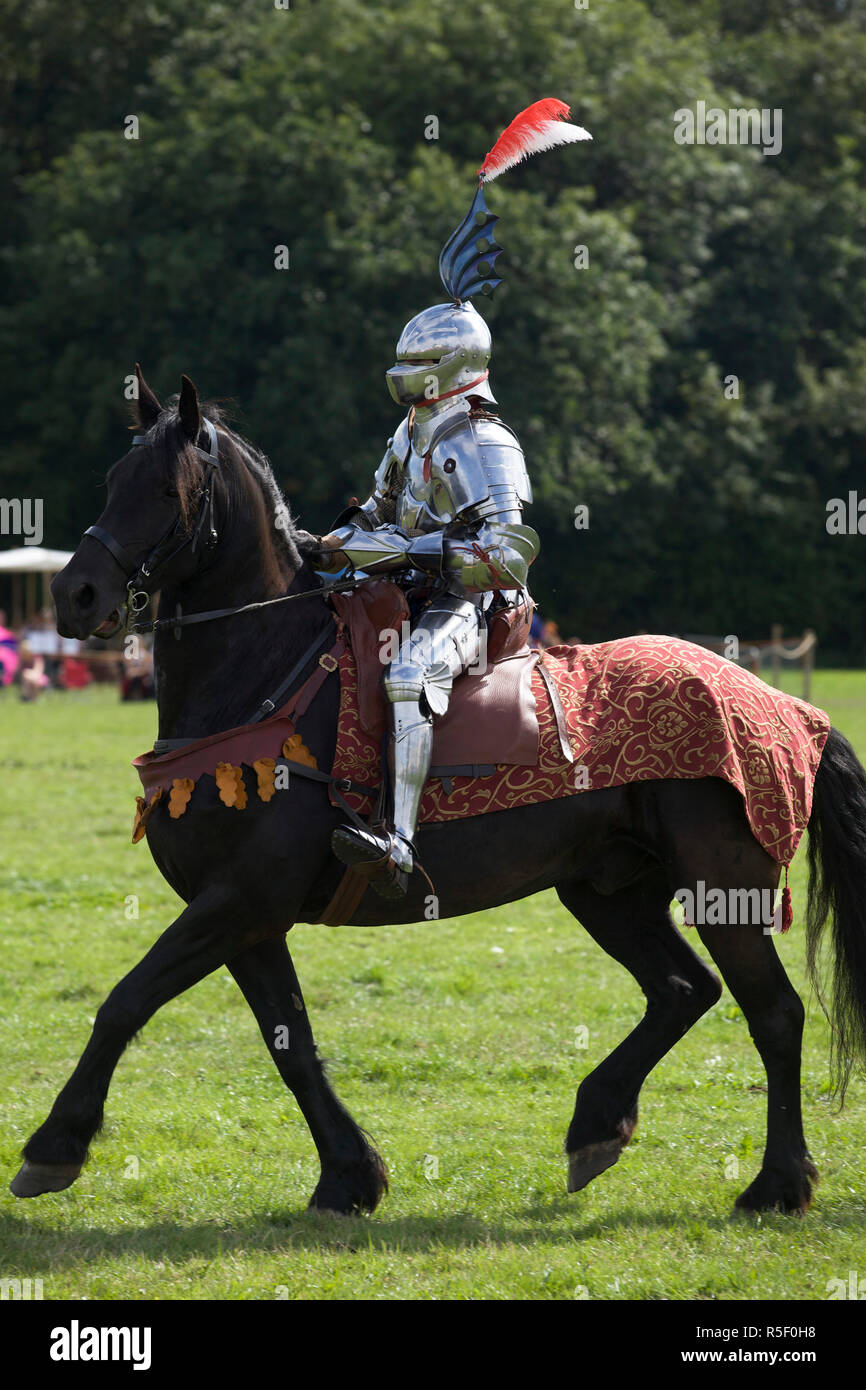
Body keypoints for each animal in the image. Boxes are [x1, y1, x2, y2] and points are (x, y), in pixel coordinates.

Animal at [11, 372, 866, 1217]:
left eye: (166, 488)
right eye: (113, 480)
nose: (76, 594)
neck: (266, 674)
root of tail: (784, 705)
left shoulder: (238, 902)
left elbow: (126, 1001)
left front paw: (54, 1145)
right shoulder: (246, 918)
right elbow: (291, 1044)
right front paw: (348, 1174)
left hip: (723, 888)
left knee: (774, 1012)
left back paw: (777, 1182)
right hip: (607, 890)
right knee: (684, 990)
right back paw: (598, 1124)